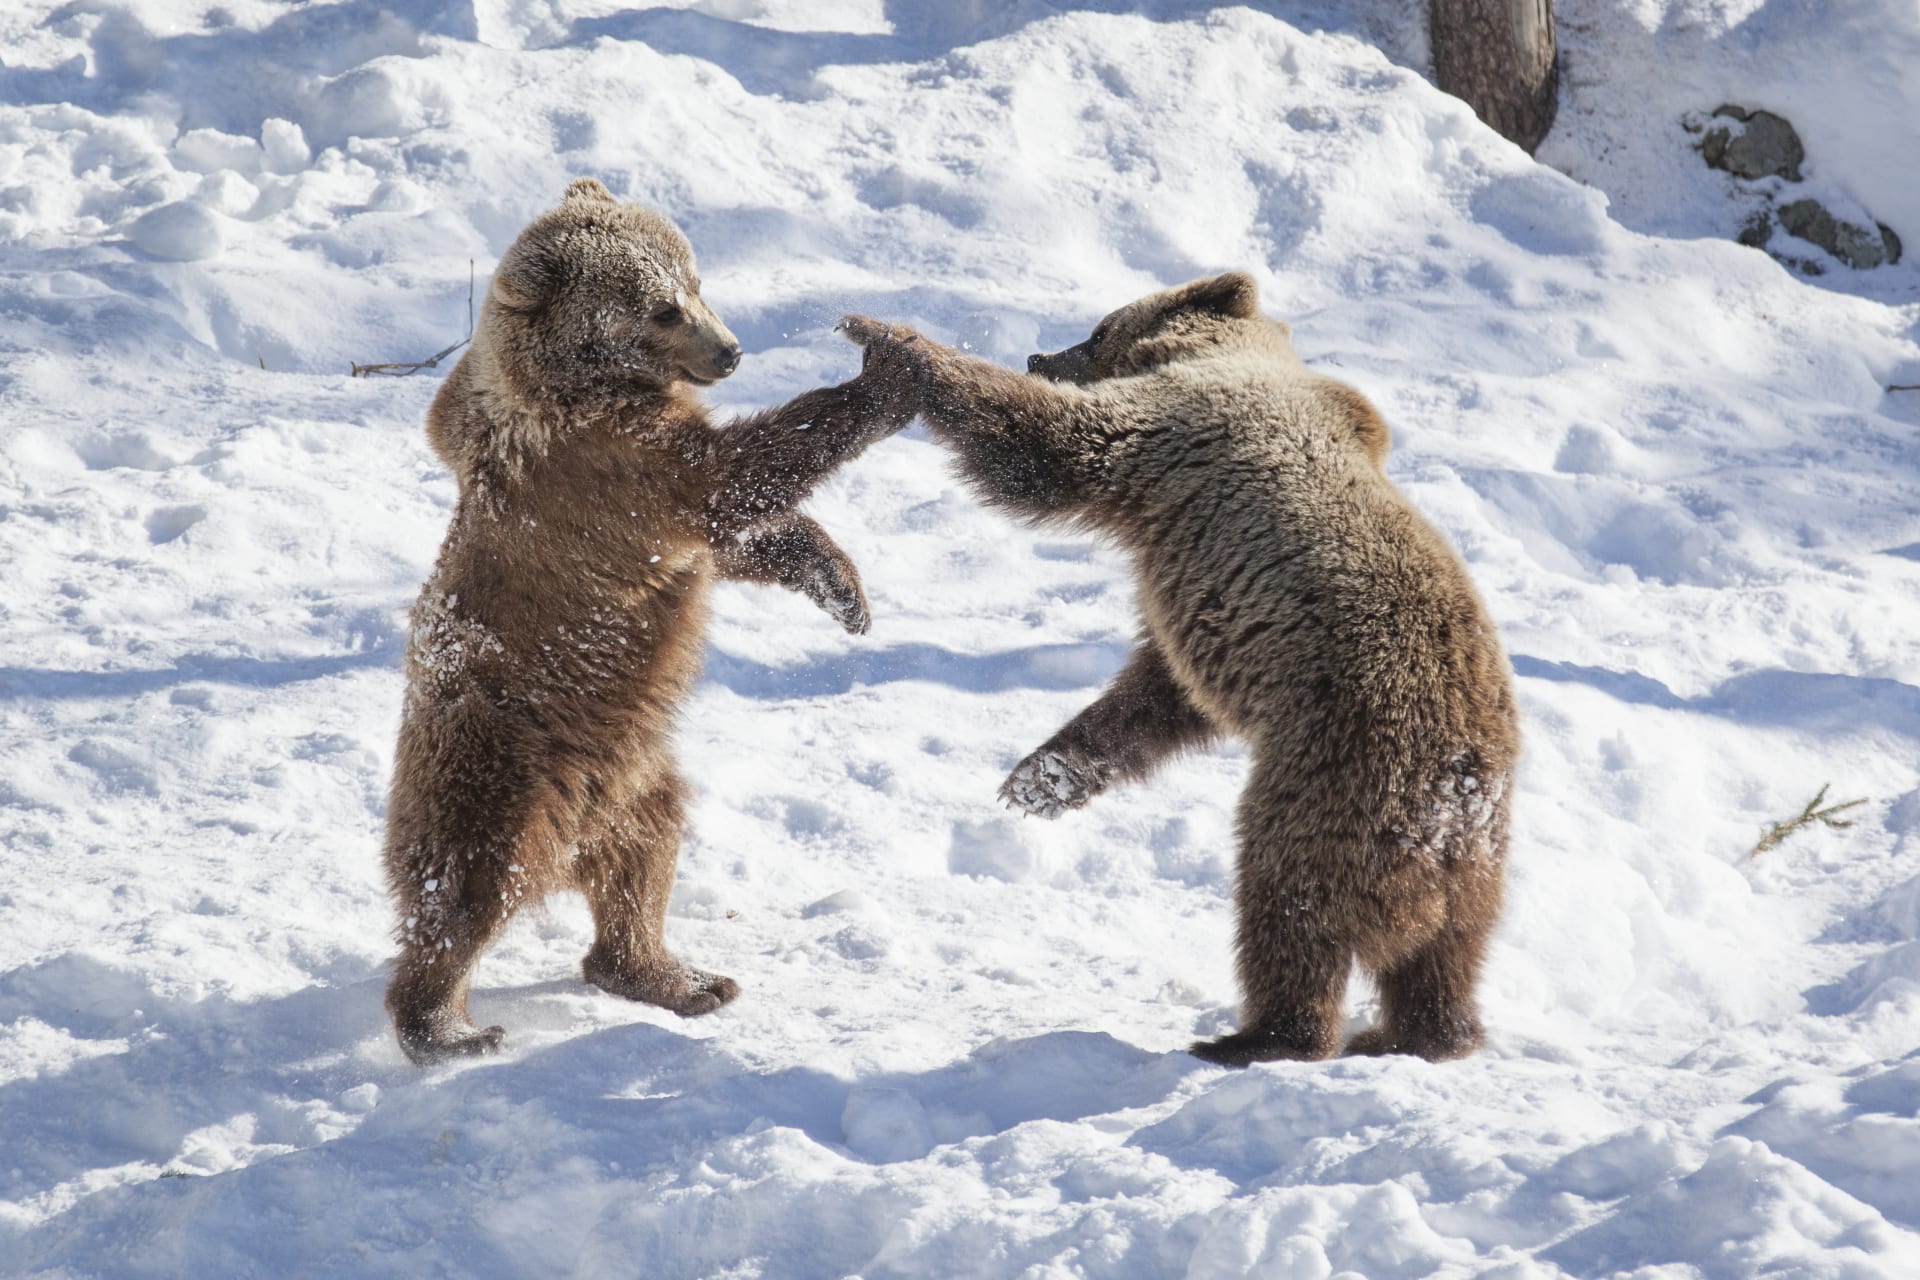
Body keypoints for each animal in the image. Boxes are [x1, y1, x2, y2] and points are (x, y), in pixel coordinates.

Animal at [382, 175, 913, 1066]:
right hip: (497, 761)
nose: (731, 352)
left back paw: (676, 977)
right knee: (466, 886)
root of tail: (571, 833)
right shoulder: (606, 465)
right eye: (660, 308)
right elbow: (736, 476)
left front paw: (842, 586)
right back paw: (447, 1027)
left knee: (645, 860)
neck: (579, 385)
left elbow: (731, 537)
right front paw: (889, 371)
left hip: (632, 778)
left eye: (695, 280)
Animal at [848, 276, 1520, 1066]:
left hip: (1331, 779)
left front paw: (888, 335)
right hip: (1477, 857)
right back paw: (1417, 1035)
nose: (1041, 353)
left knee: (1288, 903)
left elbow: (1044, 446)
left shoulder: (1171, 437)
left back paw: (1257, 1036)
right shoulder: (1216, 622)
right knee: (1448, 952)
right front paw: (1041, 779)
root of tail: (1451, 791)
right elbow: (1155, 698)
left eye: (1099, 329)